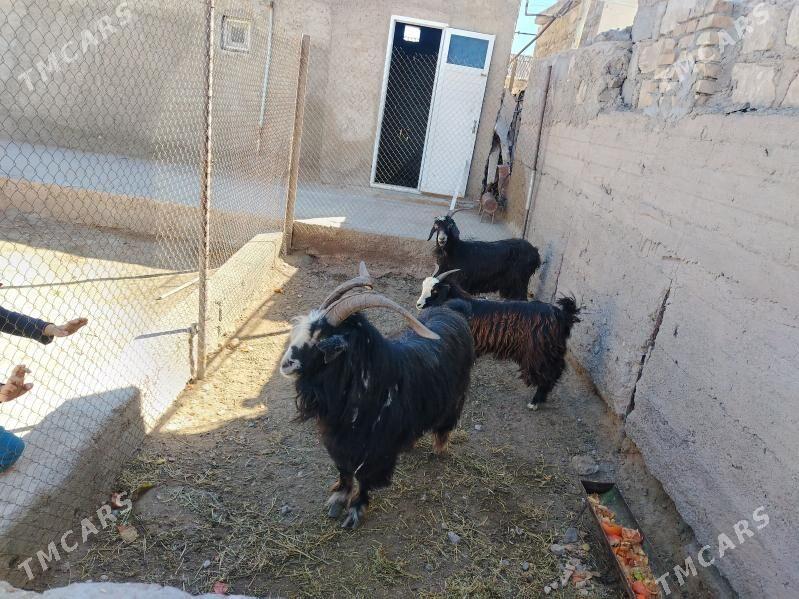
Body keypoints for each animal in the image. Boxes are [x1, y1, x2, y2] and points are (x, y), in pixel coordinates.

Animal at [281, 263, 475, 529]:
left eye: (322, 339)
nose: (285, 364)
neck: (373, 388)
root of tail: (452, 312)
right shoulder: (339, 442)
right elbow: (344, 470)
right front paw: (338, 499)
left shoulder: (376, 449)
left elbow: (364, 478)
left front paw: (355, 511)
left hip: (455, 397)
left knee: (445, 425)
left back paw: (440, 449)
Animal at [416, 269, 581, 409]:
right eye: (423, 287)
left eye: (435, 290)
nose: (418, 304)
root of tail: (563, 315)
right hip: (552, 351)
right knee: (557, 370)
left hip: (540, 353)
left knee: (548, 374)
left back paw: (534, 402)